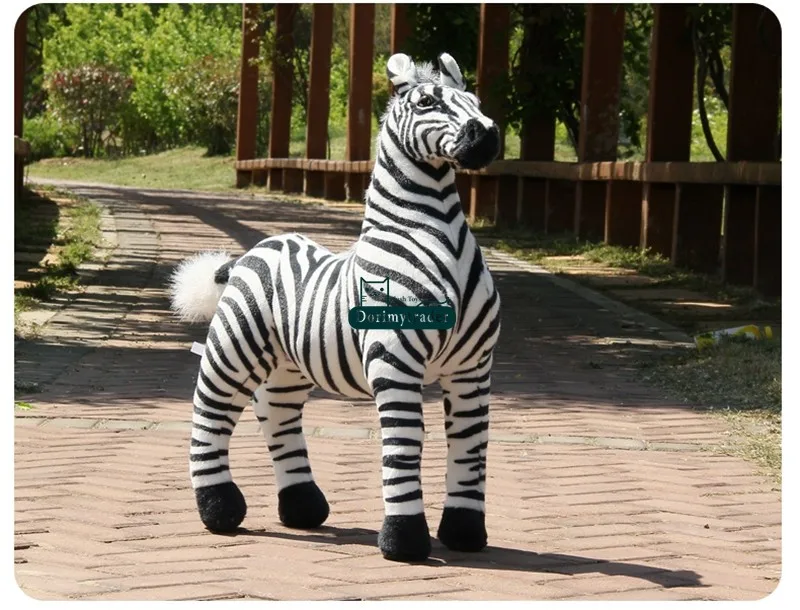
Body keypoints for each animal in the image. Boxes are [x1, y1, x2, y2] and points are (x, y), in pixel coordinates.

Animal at [170, 52, 501, 562]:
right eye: (427, 102)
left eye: (478, 103)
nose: (486, 136)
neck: (439, 240)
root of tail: (250, 253)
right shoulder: (394, 363)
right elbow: (403, 444)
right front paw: (403, 542)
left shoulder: (473, 367)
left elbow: (469, 446)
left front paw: (465, 533)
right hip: (234, 346)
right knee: (211, 411)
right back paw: (219, 511)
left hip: (287, 365)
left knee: (276, 413)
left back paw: (303, 508)